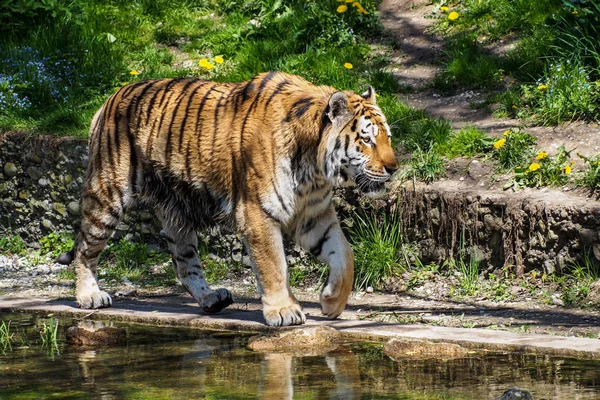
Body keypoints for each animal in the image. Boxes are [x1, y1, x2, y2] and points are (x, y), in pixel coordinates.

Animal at [58, 72, 398, 326]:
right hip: (107, 195)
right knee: (86, 248)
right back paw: (89, 295)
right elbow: (274, 266)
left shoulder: (314, 216)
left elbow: (345, 254)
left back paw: (211, 299)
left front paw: (331, 302)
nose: (394, 168)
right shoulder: (258, 212)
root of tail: (109, 99)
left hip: (177, 213)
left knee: (184, 263)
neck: (314, 170)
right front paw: (284, 310)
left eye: (387, 138)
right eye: (367, 139)